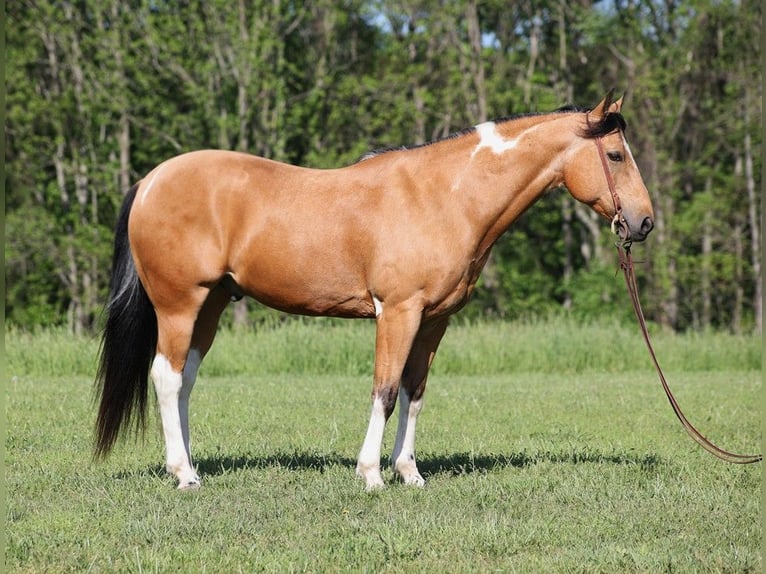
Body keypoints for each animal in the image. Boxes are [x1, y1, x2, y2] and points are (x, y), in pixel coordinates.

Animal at [94, 91, 656, 490]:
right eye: (614, 155)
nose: (644, 222)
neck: (445, 196)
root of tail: (149, 182)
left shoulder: (433, 320)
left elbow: (414, 392)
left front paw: (410, 472)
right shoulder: (398, 312)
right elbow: (384, 391)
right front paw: (370, 474)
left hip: (209, 306)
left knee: (185, 380)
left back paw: (191, 465)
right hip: (179, 304)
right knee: (166, 377)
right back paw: (183, 475)